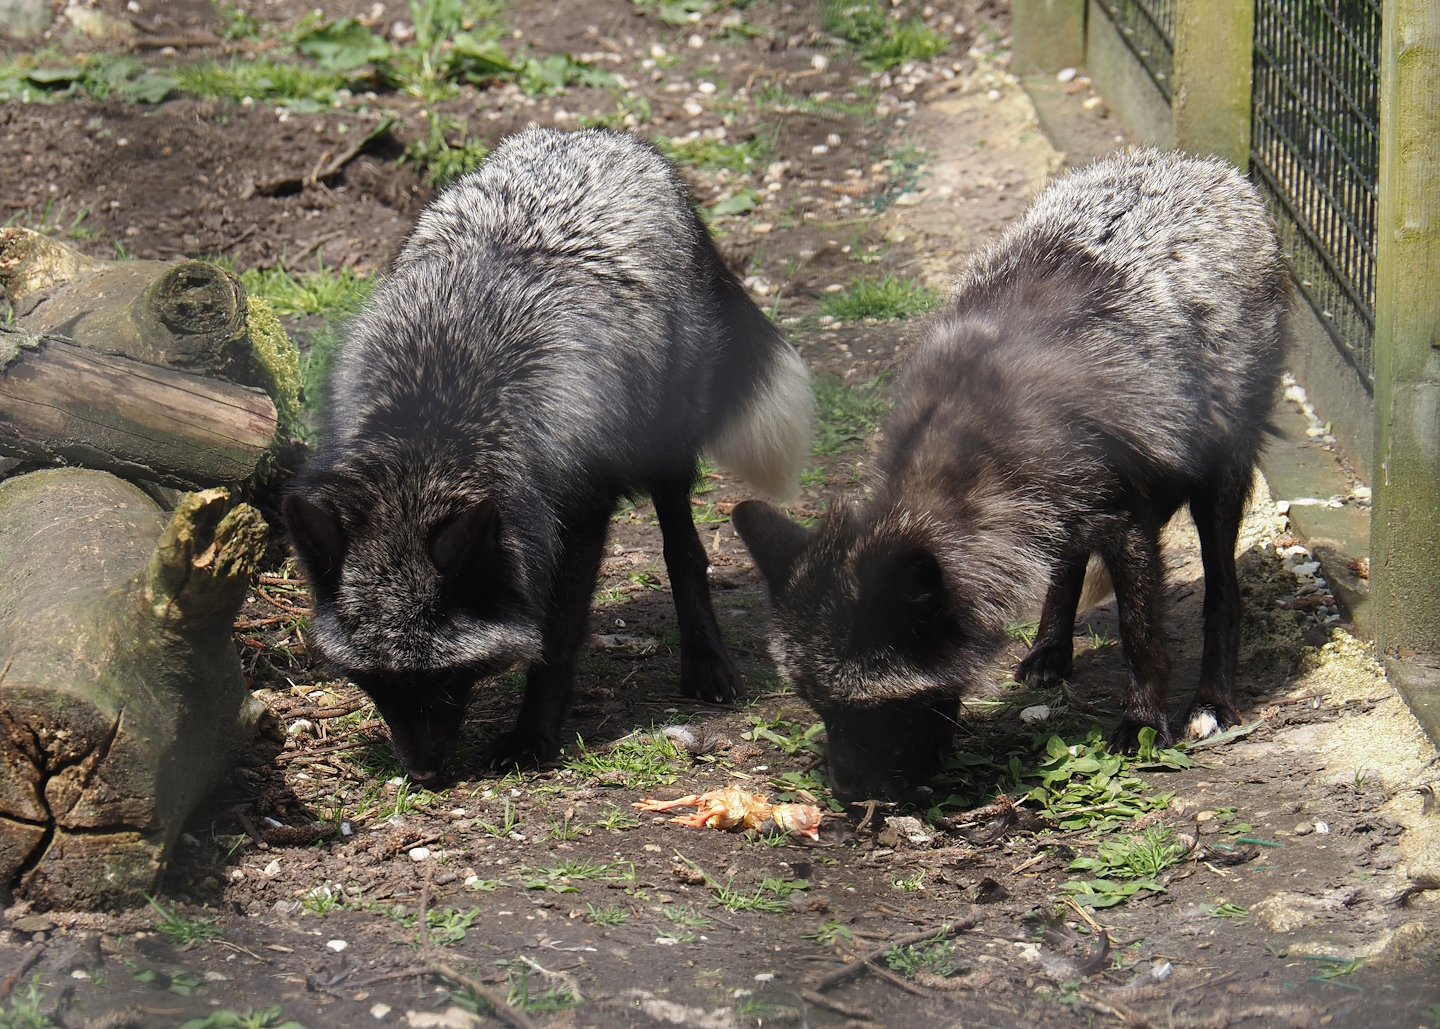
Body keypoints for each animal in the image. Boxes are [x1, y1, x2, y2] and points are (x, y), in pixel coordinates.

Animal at [282, 127, 812, 786]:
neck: (436, 415)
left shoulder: (579, 518)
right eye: (373, 681)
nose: (424, 776)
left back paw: (706, 663)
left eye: (442, 678)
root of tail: (602, 137)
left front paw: (533, 736)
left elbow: (555, 636)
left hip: (668, 453)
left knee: (685, 551)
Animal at [733, 149, 1288, 803]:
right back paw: (1050, 648)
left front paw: (1144, 721)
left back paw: (1212, 700)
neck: (973, 454)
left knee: (1224, 592)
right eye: (817, 706)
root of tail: (1209, 169)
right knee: (1067, 564)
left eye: (870, 710)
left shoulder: (1125, 522)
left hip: (1219, 482)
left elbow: (1140, 633)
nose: (846, 793)